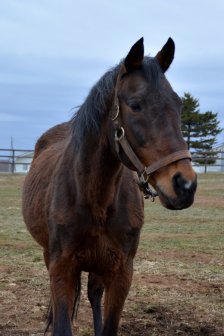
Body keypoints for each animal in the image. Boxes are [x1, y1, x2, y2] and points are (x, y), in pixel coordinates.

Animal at [22, 38, 196, 334]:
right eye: (135, 105)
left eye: (178, 104)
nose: (184, 185)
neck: (94, 198)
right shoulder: (61, 267)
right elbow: (62, 321)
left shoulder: (121, 271)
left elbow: (108, 324)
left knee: (93, 294)